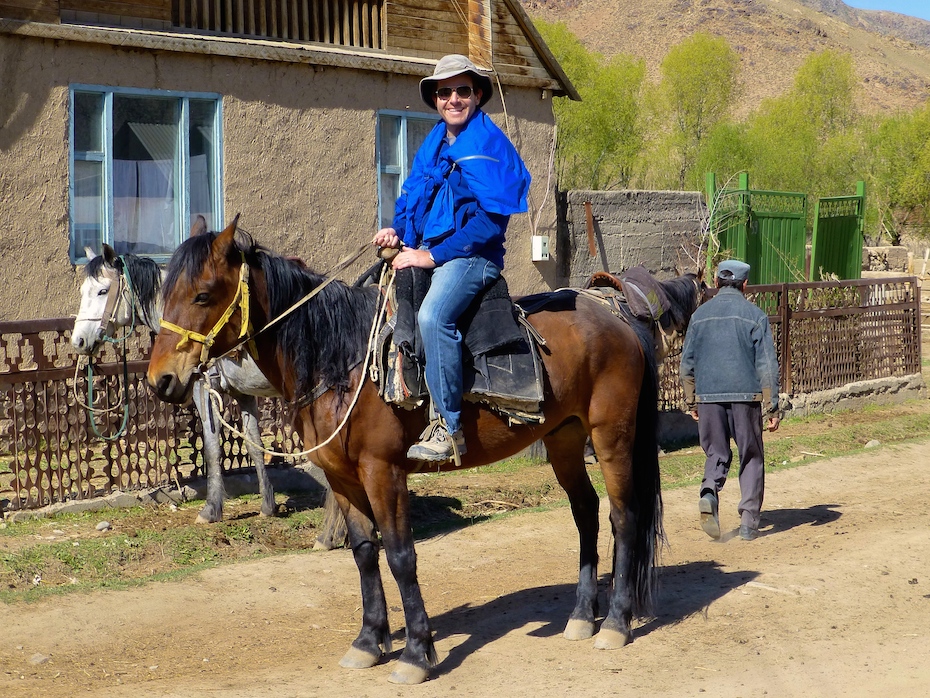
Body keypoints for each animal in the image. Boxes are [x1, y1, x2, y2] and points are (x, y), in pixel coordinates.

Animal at [70, 220, 280, 524]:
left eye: (102, 291)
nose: (78, 341)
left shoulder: (204, 390)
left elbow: (212, 448)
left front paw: (211, 508)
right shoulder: (243, 393)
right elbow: (254, 444)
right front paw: (267, 505)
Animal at [146, 218, 704, 685]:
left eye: (203, 294)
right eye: (165, 296)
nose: (161, 381)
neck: (342, 359)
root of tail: (614, 314)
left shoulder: (383, 472)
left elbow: (400, 556)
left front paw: (417, 652)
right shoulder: (344, 478)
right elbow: (364, 553)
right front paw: (369, 641)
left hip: (611, 436)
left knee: (624, 516)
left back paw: (615, 623)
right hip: (564, 438)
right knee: (586, 513)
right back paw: (581, 616)